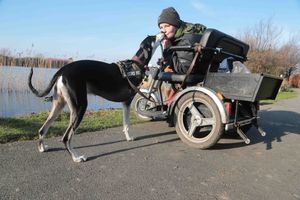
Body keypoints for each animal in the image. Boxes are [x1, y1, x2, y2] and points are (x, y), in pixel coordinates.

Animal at [27, 33, 163, 162]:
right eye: (153, 37)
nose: (162, 33)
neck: (136, 65)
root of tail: (63, 70)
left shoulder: (125, 103)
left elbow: (125, 124)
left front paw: (128, 138)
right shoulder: (128, 101)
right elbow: (127, 124)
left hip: (59, 104)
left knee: (42, 129)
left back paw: (42, 148)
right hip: (80, 107)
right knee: (66, 138)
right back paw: (76, 158)